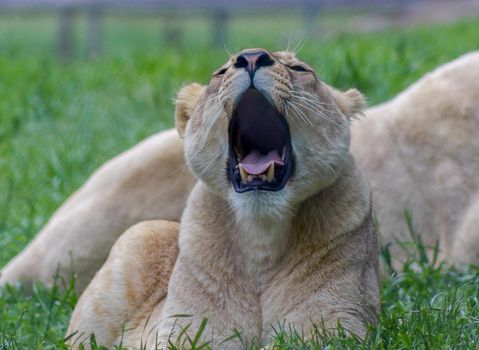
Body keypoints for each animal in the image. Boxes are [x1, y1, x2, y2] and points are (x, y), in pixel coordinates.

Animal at [66, 49, 378, 348]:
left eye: (300, 69)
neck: (260, 235)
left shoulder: (337, 322)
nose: (251, 56)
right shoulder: (187, 329)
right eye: (220, 72)